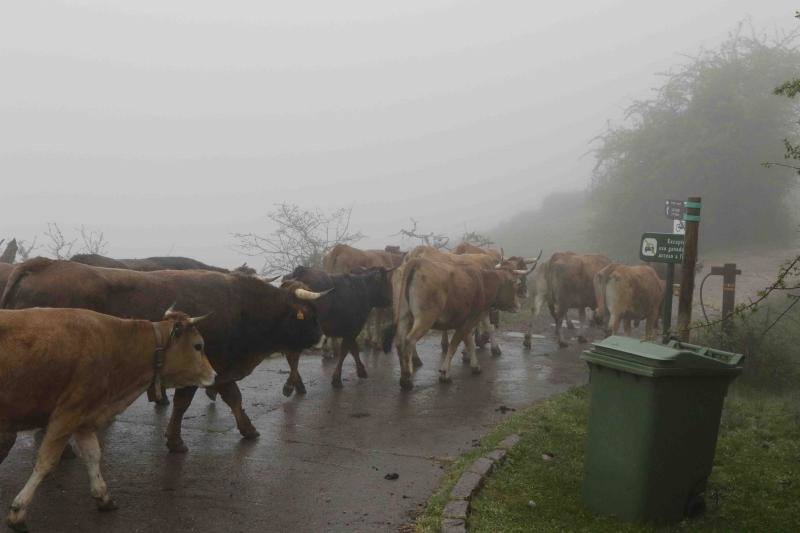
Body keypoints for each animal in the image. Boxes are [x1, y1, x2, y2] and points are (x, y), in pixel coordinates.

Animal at [0, 306, 214, 528]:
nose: (214, 375)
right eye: (198, 346)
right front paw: (18, 510)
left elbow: (93, 455)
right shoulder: (67, 413)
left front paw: (103, 496)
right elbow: (46, 462)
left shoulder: (85, 418)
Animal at [390, 254, 532, 386]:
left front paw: (475, 365)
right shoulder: (469, 320)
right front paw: (445, 373)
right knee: (410, 340)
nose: (518, 305)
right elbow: (454, 345)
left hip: (404, 316)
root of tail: (416, 262)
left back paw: (403, 376)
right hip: (425, 318)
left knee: (399, 341)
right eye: (516, 283)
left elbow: (469, 341)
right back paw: (407, 378)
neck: (482, 282)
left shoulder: (467, 322)